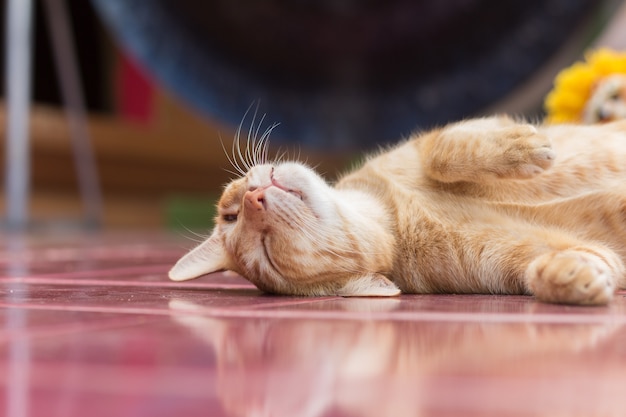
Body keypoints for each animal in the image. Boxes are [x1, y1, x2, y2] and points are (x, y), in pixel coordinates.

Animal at [168, 115, 624, 304]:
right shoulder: (577, 255)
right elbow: (566, 265)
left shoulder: (436, 141)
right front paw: (568, 277)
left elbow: (444, 151)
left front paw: (524, 146)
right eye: (265, 251)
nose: (252, 199)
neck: (397, 215)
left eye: (230, 215)